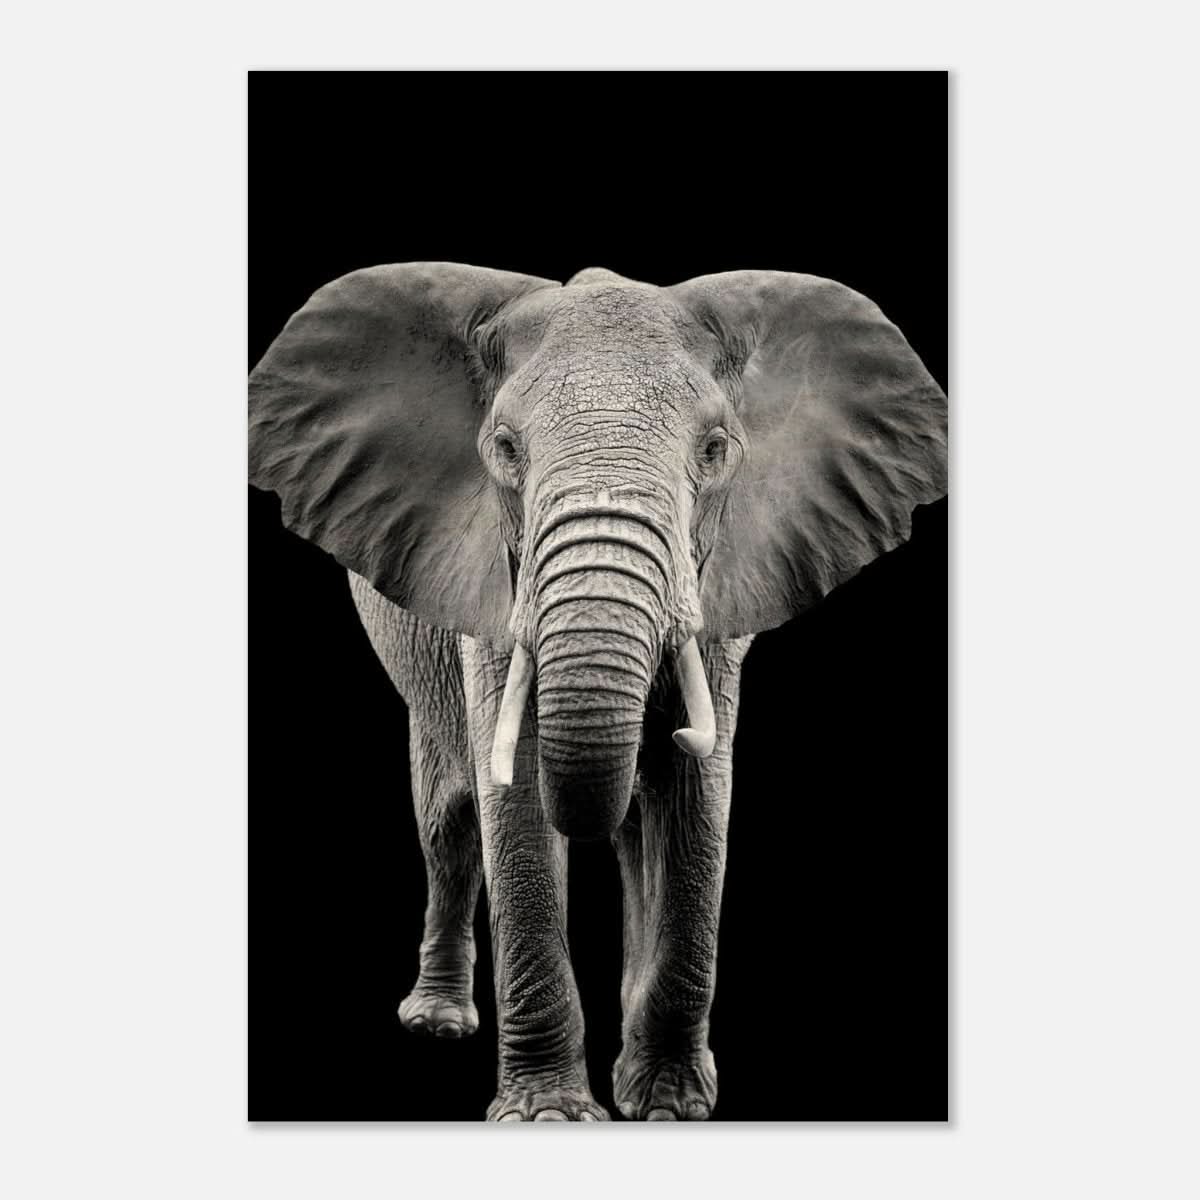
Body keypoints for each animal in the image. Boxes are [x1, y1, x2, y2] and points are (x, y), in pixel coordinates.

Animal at [248, 263, 947, 1121]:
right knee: (448, 822)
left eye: (715, 449)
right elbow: (513, 800)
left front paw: (670, 1106)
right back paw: (438, 1023)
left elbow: (695, 801)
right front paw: (548, 1115)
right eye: (504, 449)